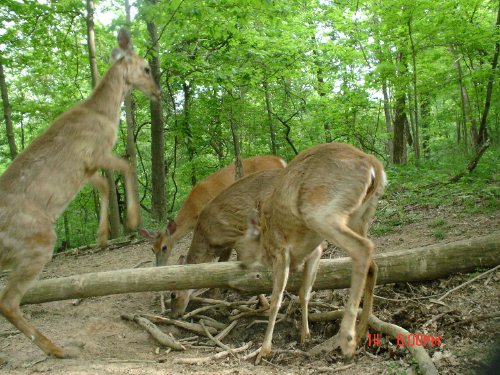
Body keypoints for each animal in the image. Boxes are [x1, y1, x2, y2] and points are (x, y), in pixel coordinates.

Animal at [0, 27, 159, 358]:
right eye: (146, 68)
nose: (158, 93)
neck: (103, 114)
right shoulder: (96, 152)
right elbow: (127, 166)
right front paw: (131, 221)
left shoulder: (86, 169)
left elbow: (105, 184)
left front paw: (102, 236)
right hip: (37, 240)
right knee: (7, 301)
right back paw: (56, 349)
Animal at [169, 169, 284, 318]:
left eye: (173, 295)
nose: (173, 314)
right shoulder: (226, 247)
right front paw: (217, 308)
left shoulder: (237, 237)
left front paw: (265, 306)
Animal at [238, 143, 386, 364]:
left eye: (240, 246)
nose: (241, 264)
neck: (265, 242)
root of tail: (375, 167)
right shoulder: (315, 251)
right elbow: (304, 293)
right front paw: (305, 335)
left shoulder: (281, 252)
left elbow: (276, 300)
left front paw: (264, 349)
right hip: (360, 216)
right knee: (373, 265)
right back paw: (360, 333)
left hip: (320, 212)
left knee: (363, 248)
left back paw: (347, 338)